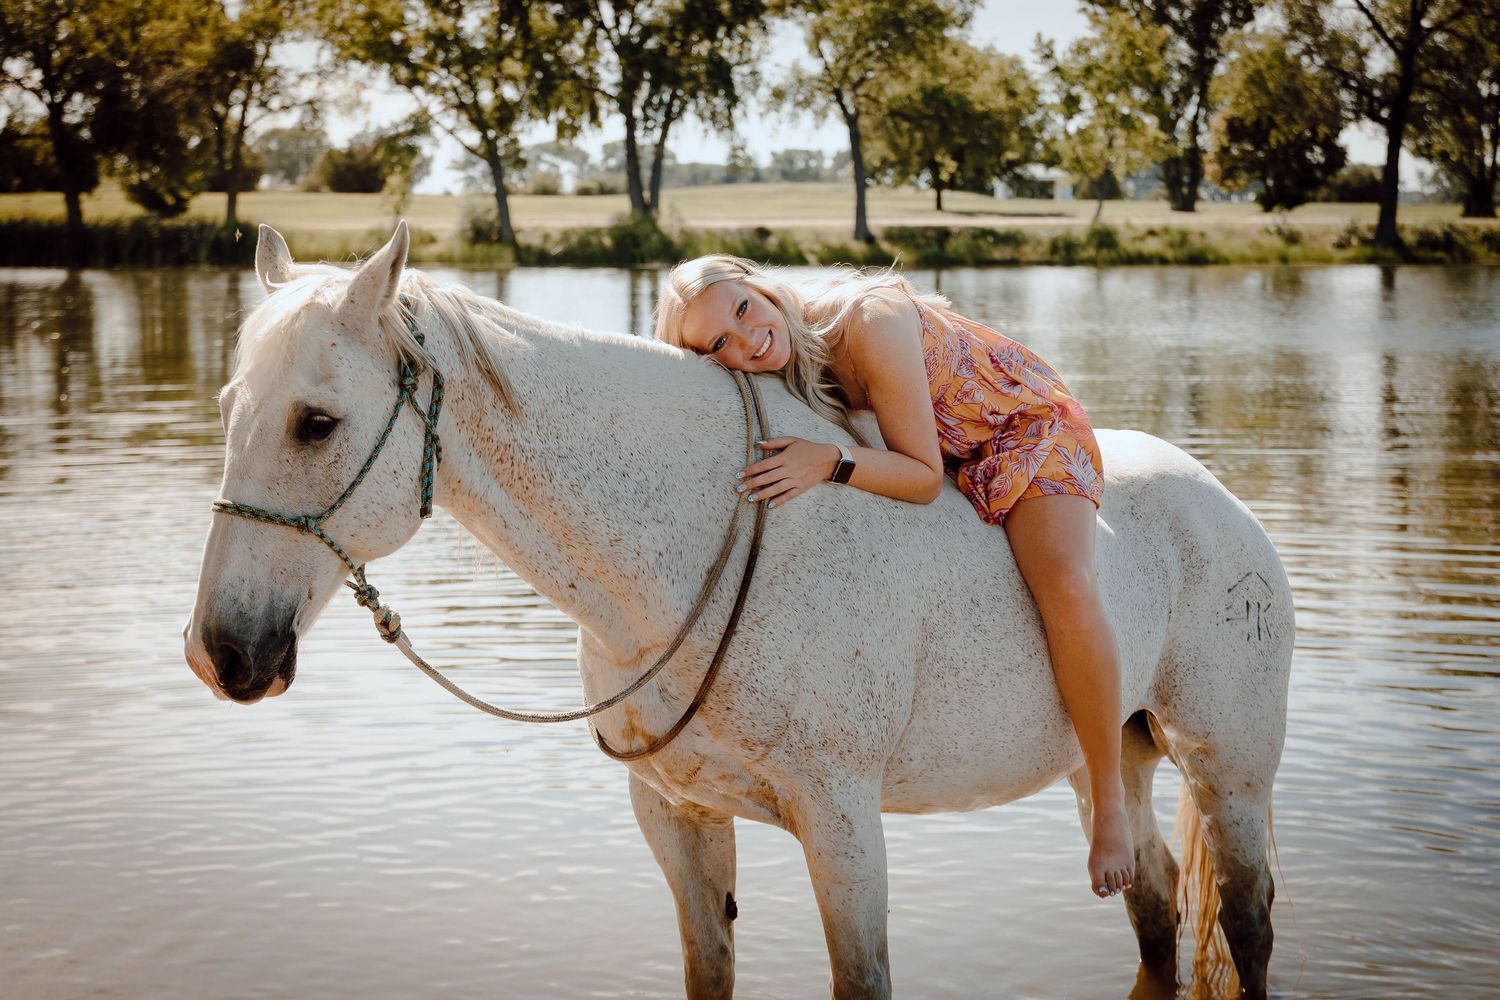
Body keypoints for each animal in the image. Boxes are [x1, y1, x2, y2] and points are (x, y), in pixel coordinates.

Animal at [184, 222, 1293, 999]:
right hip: (1108, 759)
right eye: (231, 407)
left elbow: (861, 976)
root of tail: (1221, 499)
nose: (219, 653)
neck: (688, 550)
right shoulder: (677, 817)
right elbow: (707, 967)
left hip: (1228, 777)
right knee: (1152, 894)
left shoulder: (842, 825)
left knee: (1246, 923)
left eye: (315, 421)